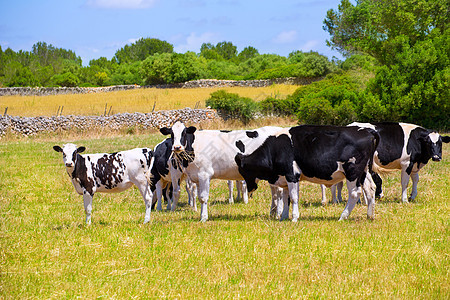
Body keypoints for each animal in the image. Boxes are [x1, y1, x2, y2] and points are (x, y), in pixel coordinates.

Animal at [236, 125, 380, 221]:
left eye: (244, 170)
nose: (250, 189)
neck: (276, 150)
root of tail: (367, 130)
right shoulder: (285, 178)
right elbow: (286, 197)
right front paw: (283, 217)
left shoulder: (292, 175)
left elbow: (294, 197)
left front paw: (294, 218)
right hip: (364, 171)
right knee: (370, 188)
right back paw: (370, 215)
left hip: (352, 171)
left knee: (355, 193)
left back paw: (343, 216)